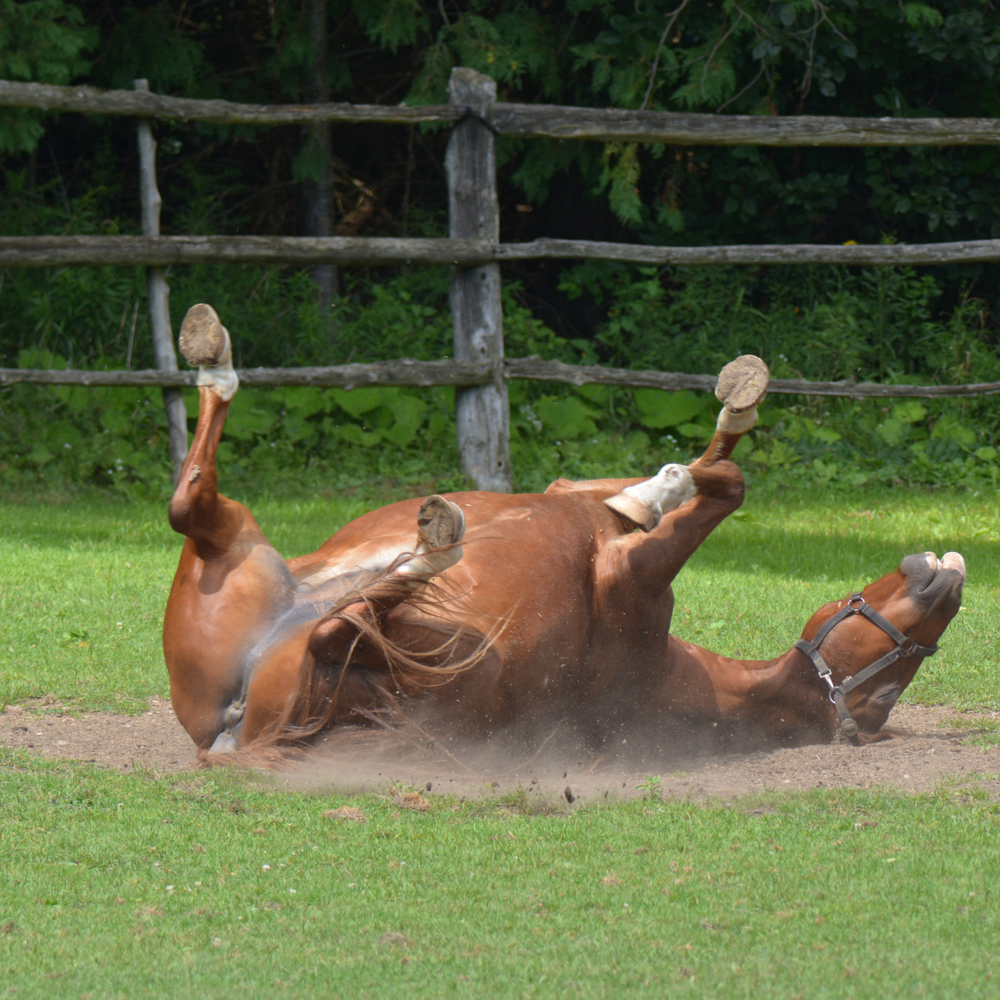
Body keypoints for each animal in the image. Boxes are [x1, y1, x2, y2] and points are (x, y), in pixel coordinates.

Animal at [163, 303, 965, 759]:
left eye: (886, 693)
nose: (949, 577)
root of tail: (229, 729)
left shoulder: (630, 582)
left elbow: (717, 489)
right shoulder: (586, 516)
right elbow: (700, 477)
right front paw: (710, 432)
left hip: (453, 656)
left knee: (331, 619)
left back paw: (434, 546)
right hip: (245, 552)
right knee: (193, 505)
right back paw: (212, 353)